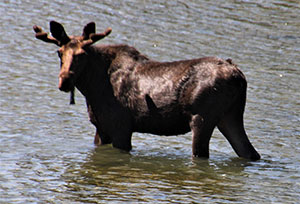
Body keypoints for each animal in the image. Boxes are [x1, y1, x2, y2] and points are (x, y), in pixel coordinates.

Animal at [33, 21, 260, 161]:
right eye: (59, 52)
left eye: (82, 54)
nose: (64, 81)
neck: (91, 87)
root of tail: (239, 76)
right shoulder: (101, 127)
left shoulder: (121, 128)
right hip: (230, 116)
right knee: (250, 153)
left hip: (202, 118)